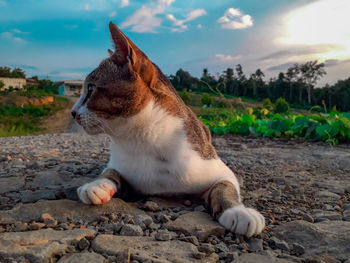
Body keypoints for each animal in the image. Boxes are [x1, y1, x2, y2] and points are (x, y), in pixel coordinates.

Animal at [74, 22, 266, 237]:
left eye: (90, 89)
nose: (73, 112)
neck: (141, 138)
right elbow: (110, 171)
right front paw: (96, 184)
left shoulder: (215, 167)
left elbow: (225, 186)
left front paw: (238, 211)